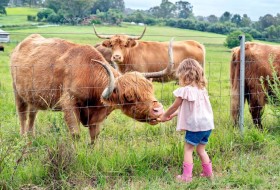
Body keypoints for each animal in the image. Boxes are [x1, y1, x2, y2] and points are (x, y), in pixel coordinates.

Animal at [10, 34, 173, 144]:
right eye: (129, 96)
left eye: (151, 89)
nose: (158, 109)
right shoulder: (69, 104)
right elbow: (75, 134)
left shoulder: (98, 117)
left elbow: (94, 136)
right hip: (18, 93)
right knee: (23, 115)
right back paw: (23, 138)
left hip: (33, 96)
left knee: (32, 114)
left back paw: (31, 136)